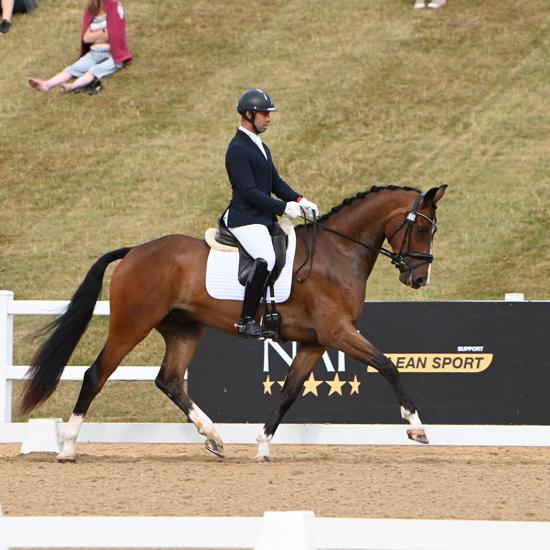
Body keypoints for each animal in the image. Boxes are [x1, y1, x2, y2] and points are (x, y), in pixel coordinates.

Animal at [19, 184, 448, 462]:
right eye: (420, 228)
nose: (419, 278)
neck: (337, 253)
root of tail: (135, 251)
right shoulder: (337, 332)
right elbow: (388, 365)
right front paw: (417, 427)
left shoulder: (315, 342)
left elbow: (289, 392)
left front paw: (262, 445)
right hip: (131, 324)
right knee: (96, 374)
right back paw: (68, 448)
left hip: (185, 329)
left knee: (169, 379)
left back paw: (213, 436)